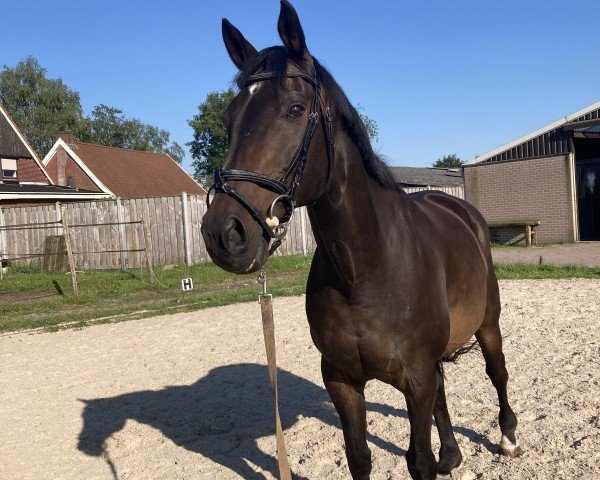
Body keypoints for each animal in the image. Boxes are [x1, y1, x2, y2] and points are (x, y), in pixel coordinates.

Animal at [200, 1, 520, 478]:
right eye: (227, 119)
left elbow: (419, 460)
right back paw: (452, 453)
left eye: (295, 108)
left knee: (497, 374)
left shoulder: (415, 378)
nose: (224, 233)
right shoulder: (343, 380)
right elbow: (358, 457)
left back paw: (508, 438)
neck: (364, 270)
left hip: (488, 324)